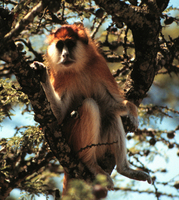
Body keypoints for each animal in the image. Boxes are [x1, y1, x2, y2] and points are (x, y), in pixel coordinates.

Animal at [31, 22, 152, 195]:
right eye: (60, 45)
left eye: (70, 44)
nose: (65, 55)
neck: (78, 68)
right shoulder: (60, 74)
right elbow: (58, 116)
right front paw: (42, 75)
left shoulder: (99, 66)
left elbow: (110, 104)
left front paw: (132, 110)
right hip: (72, 138)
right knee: (90, 105)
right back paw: (90, 164)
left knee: (110, 115)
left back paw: (124, 169)